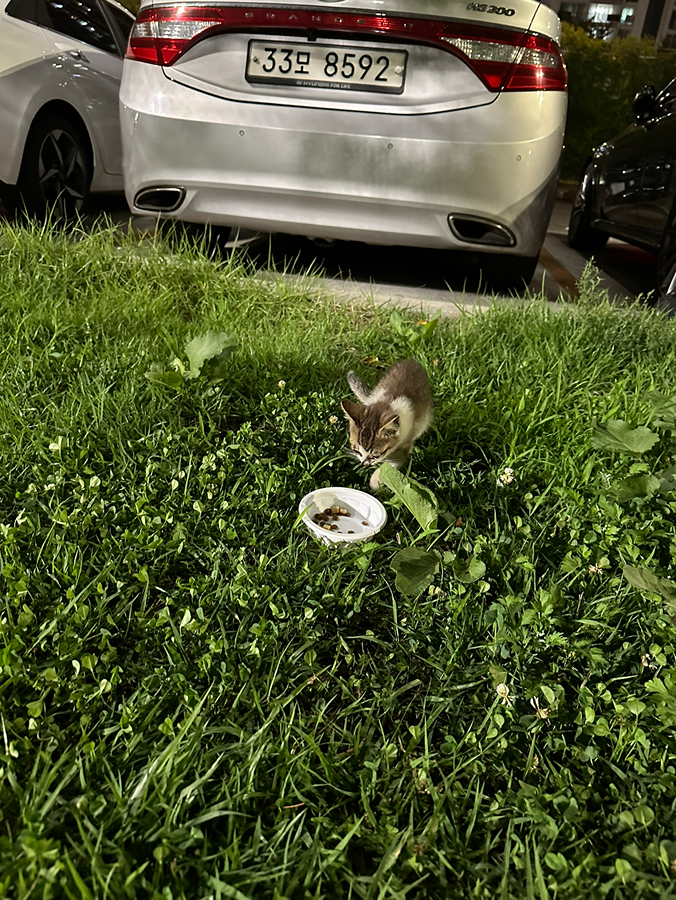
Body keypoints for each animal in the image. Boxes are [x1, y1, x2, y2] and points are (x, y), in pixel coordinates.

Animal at [344, 356, 434, 488]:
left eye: (375, 455)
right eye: (356, 451)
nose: (365, 464)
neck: (387, 405)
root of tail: (412, 361)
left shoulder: (406, 440)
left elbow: (394, 463)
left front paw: (376, 480)